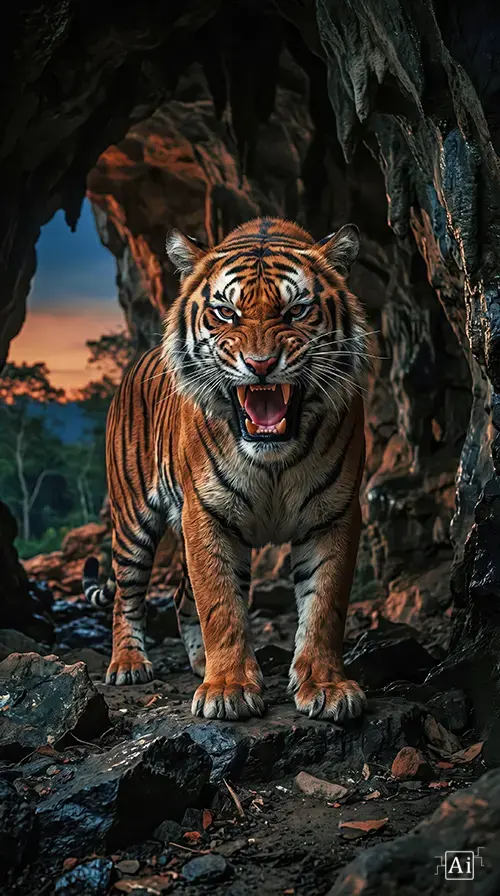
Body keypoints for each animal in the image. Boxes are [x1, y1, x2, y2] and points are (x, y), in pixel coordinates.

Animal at [83, 217, 370, 723]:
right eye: (226, 313)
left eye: (296, 311)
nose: (261, 365)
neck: (274, 457)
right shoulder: (207, 513)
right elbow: (220, 604)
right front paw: (229, 689)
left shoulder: (333, 514)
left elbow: (324, 606)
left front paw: (326, 686)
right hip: (132, 521)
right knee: (126, 594)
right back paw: (129, 663)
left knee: (180, 595)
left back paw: (198, 663)